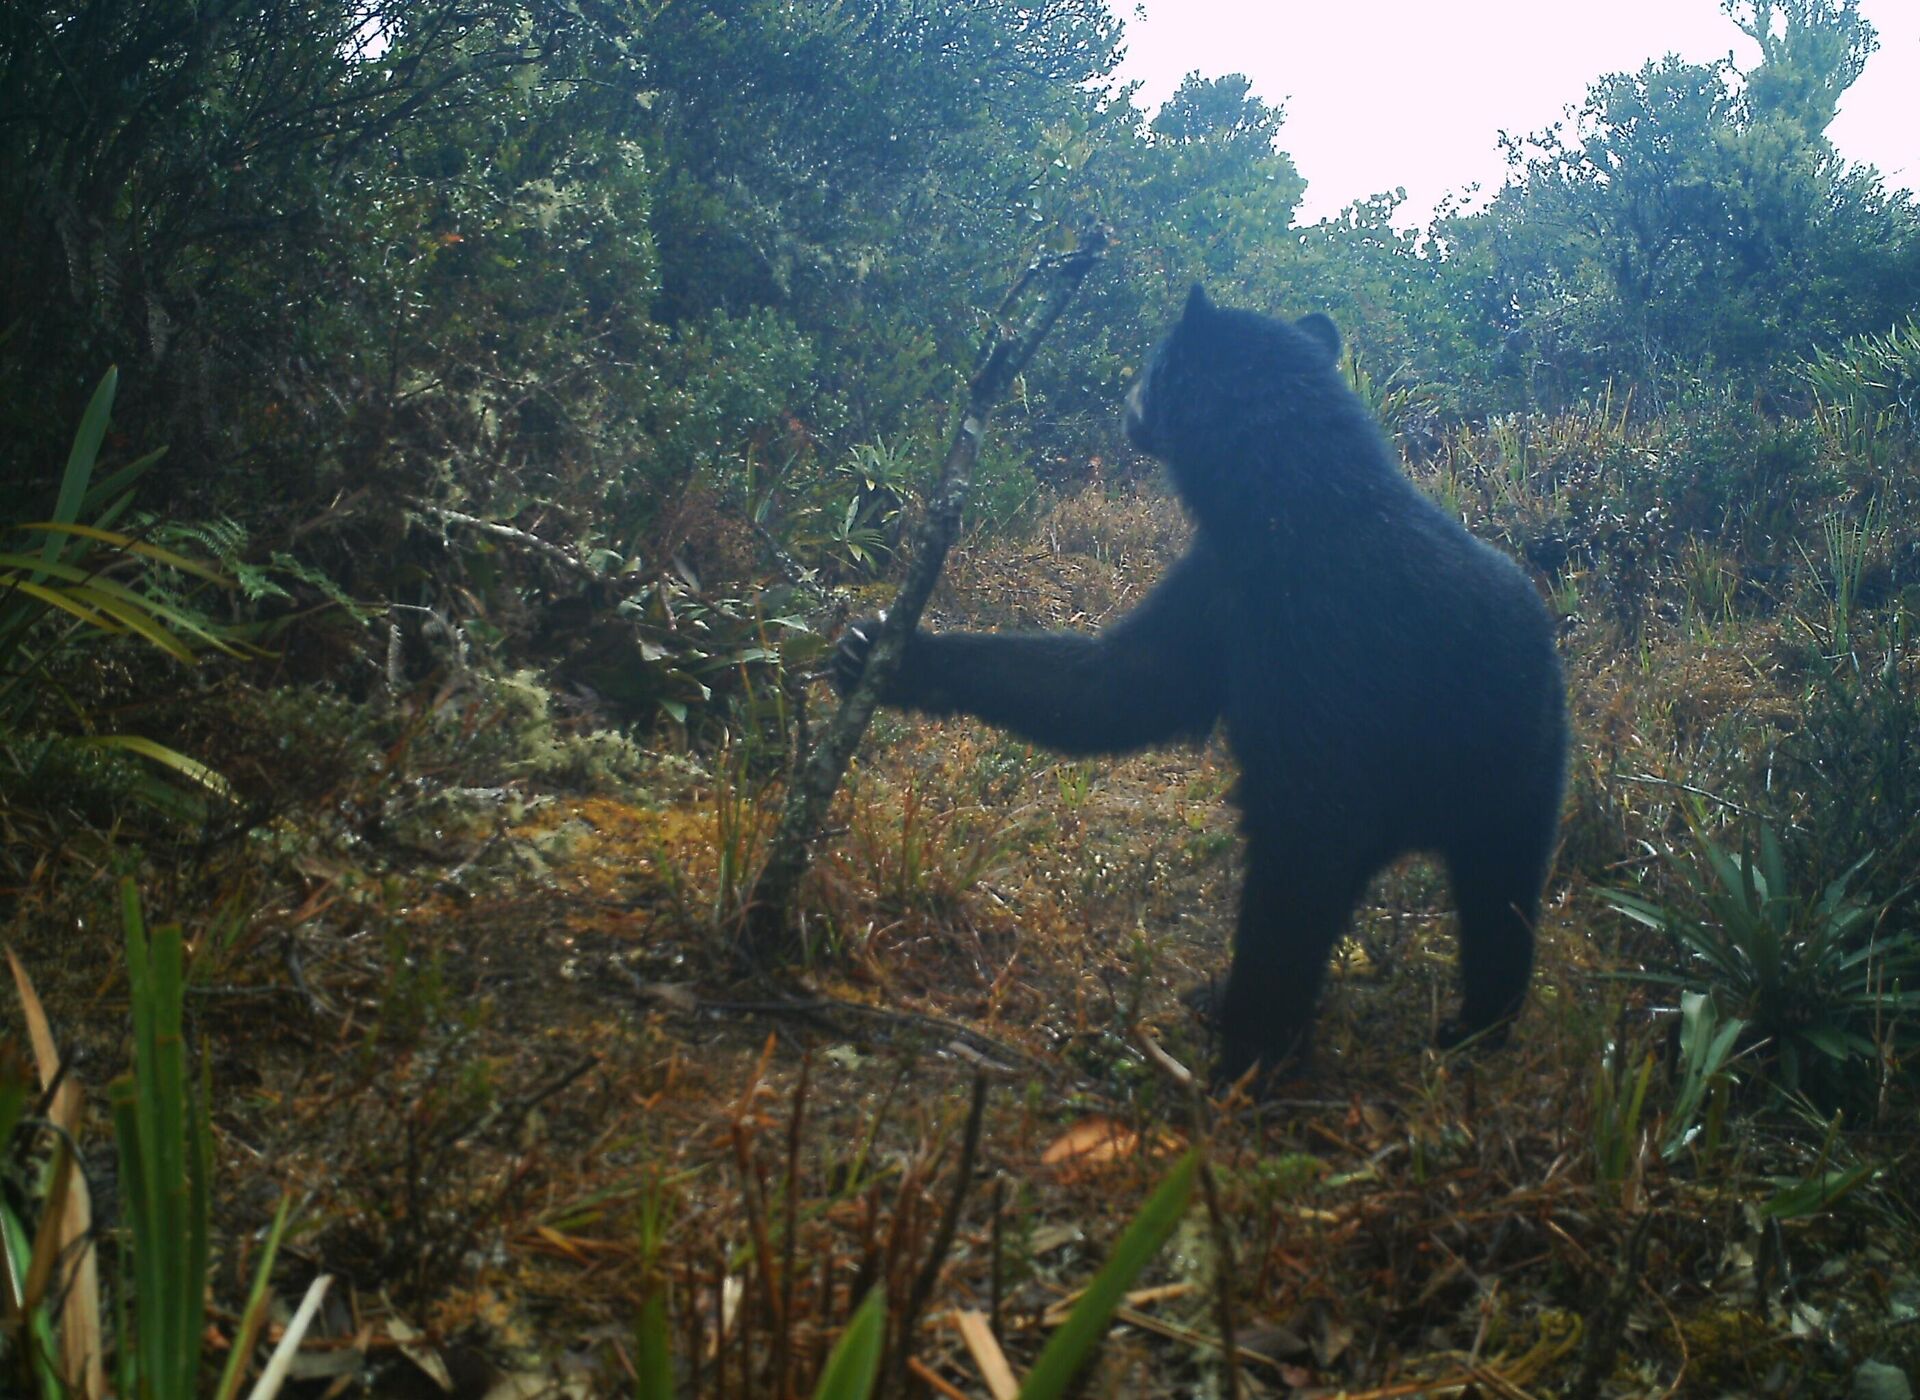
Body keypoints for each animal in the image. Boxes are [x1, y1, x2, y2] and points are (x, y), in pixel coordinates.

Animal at [833, 286, 1566, 1083]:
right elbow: (1117, 685)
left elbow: (1307, 839)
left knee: (1493, 901)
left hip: (1510, 777)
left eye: (1155, 362)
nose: (1126, 396)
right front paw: (877, 649)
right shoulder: (1220, 588)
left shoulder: (1329, 654)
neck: (1285, 512)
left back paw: (1460, 1024)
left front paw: (1249, 1055)